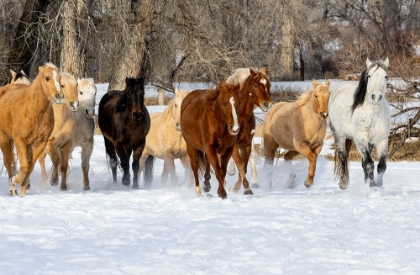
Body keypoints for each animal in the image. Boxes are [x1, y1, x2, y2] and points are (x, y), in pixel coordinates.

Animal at [0, 63, 64, 196]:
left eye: (60, 78)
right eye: (47, 78)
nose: (59, 96)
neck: (34, 110)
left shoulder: (40, 143)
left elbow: (30, 166)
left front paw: (23, 190)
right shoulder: (19, 141)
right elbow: (23, 166)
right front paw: (14, 181)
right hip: (4, 138)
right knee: (8, 162)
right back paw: (12, 188)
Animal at [328, 57, 390, 191]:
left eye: (385, 76)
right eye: (369, 75)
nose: (376, 97)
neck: (373, 113)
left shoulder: (382, 140)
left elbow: (381, 166)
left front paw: (378, 186)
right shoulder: (361, 139)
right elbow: (369, 164)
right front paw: (371, 187)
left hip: (370, 143)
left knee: (363, 162)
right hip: (339, 135)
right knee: (343, 156)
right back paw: (344, 183)